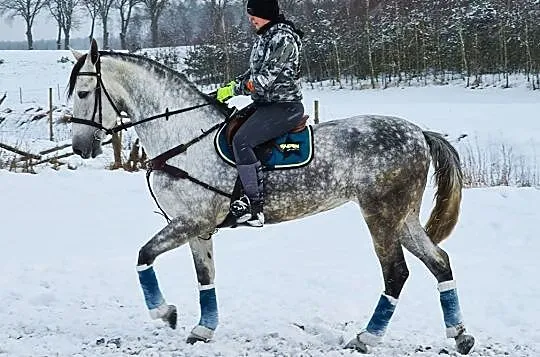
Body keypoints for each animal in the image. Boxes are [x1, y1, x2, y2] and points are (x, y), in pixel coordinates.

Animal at [68, 39, 476, 354]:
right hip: (403, 217)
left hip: (381, 214)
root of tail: (419, 133)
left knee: (396, 273)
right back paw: (460, 335)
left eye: (84, 93)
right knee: (439, 262)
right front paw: (203, 329)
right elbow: (205, 277)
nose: (80, 147)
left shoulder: (191, 221)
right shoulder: (198, 228)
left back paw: (367, 338)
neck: (183, 137)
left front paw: (164, 312)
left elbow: (144, 256)